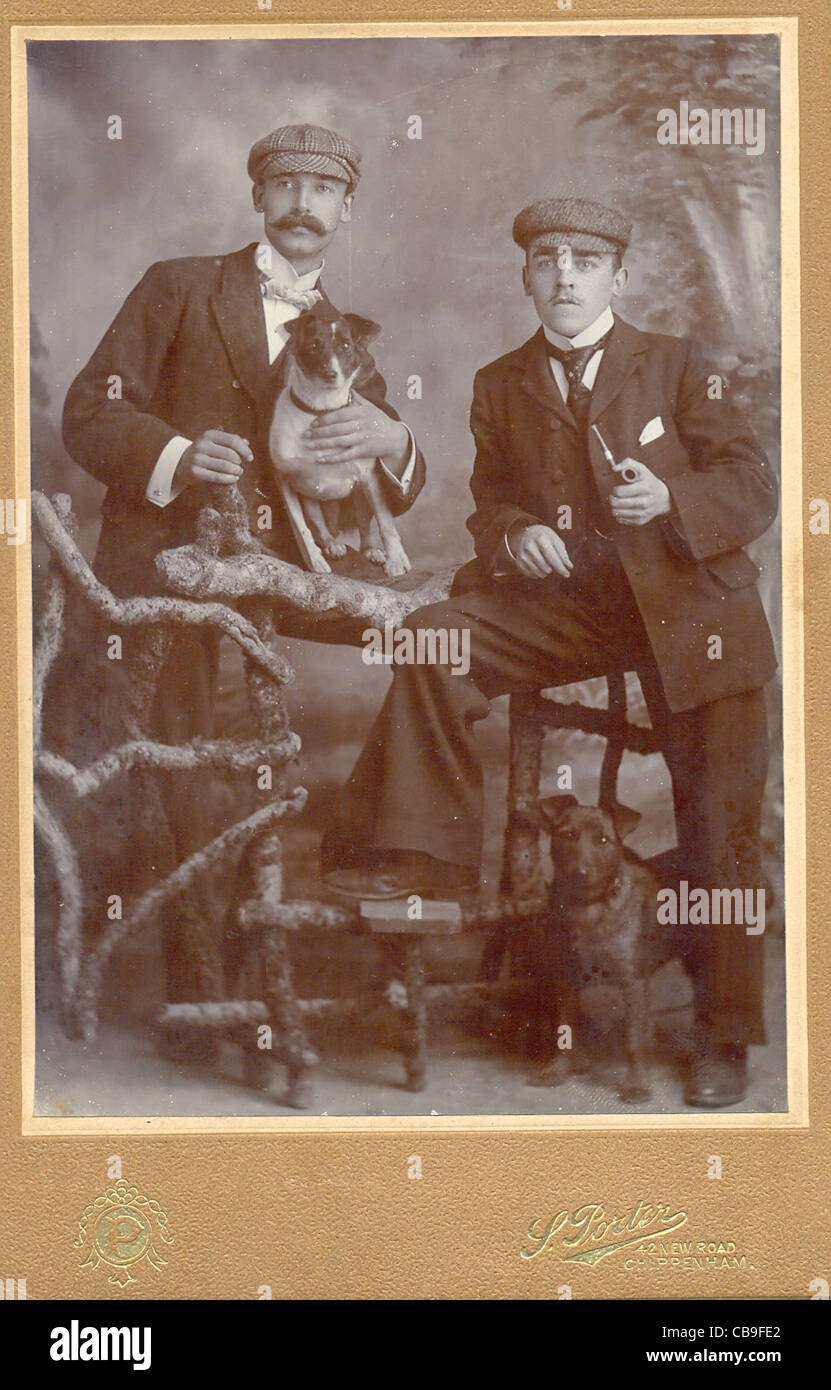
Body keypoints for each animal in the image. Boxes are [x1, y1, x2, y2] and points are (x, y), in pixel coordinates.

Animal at [528, 800, 683, 1100]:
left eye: (603, 840)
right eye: (568, 835)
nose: (580, 873)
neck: (588, 908)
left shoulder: (633, 980)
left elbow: (633, 1037)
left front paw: (636, 1083)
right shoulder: (565, 976)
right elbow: (564, 1028)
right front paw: (559, 1068)